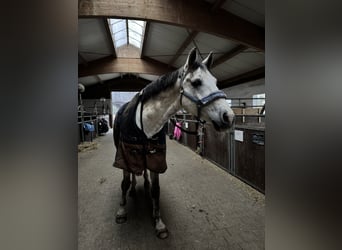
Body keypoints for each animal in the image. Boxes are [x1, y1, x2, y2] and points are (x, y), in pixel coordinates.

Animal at [112, 47, 235, 238]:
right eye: (197, 82)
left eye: (215, 81)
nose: (229, 117)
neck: (145, 123)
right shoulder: (126, 155)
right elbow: (124, 183)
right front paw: (121, 211)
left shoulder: (155, 157)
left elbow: (156, 190)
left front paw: (159, 222)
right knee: (131, 175)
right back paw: (132, 189)